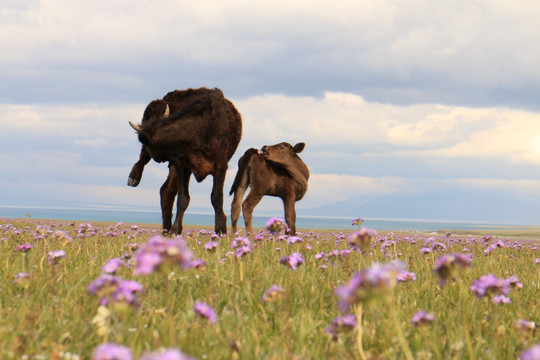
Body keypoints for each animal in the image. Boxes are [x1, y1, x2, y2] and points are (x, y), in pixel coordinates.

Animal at [128, 88, 240, 235]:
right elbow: (183, 199)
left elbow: (216, 198)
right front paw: (175, 230)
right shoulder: (182, 166)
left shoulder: (220, 166)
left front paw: (221, 230)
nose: (160, 158)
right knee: (145, 165)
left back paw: (166, 230)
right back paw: (133, 178)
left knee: (166, 190)